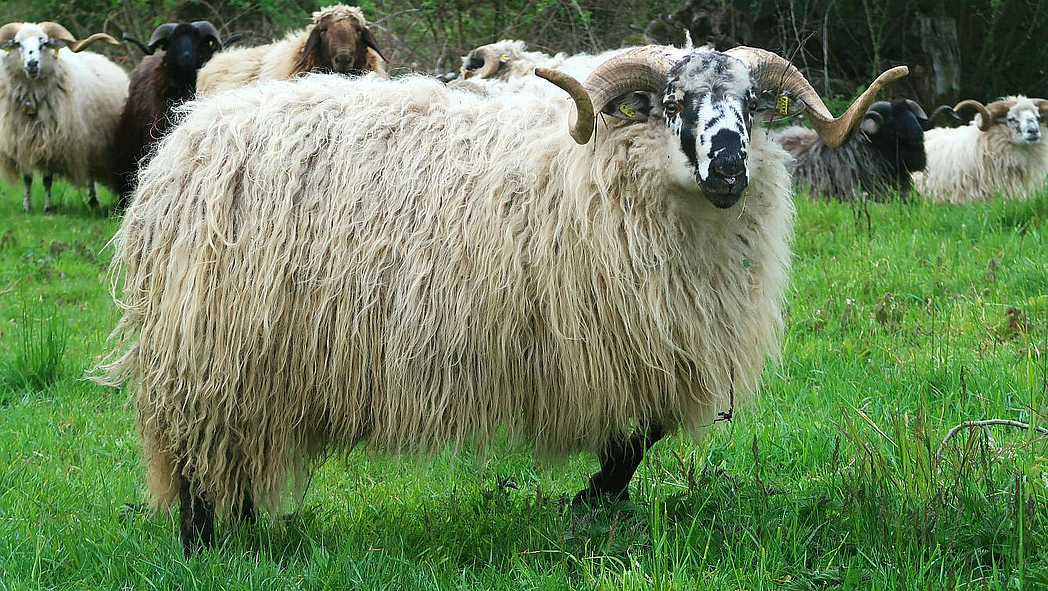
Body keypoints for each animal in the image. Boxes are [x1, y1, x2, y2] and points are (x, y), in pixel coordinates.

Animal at [0, 22, 126, 212]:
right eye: (17, 44)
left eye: (44, 43)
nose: (32, 64)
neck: (31, 99)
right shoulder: (23, 143)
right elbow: (27, 179)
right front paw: (26, 207)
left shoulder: (51, 143)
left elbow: (47, 180)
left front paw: (47, 207)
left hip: (92, 141)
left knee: (91, 173)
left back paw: (93, 200)